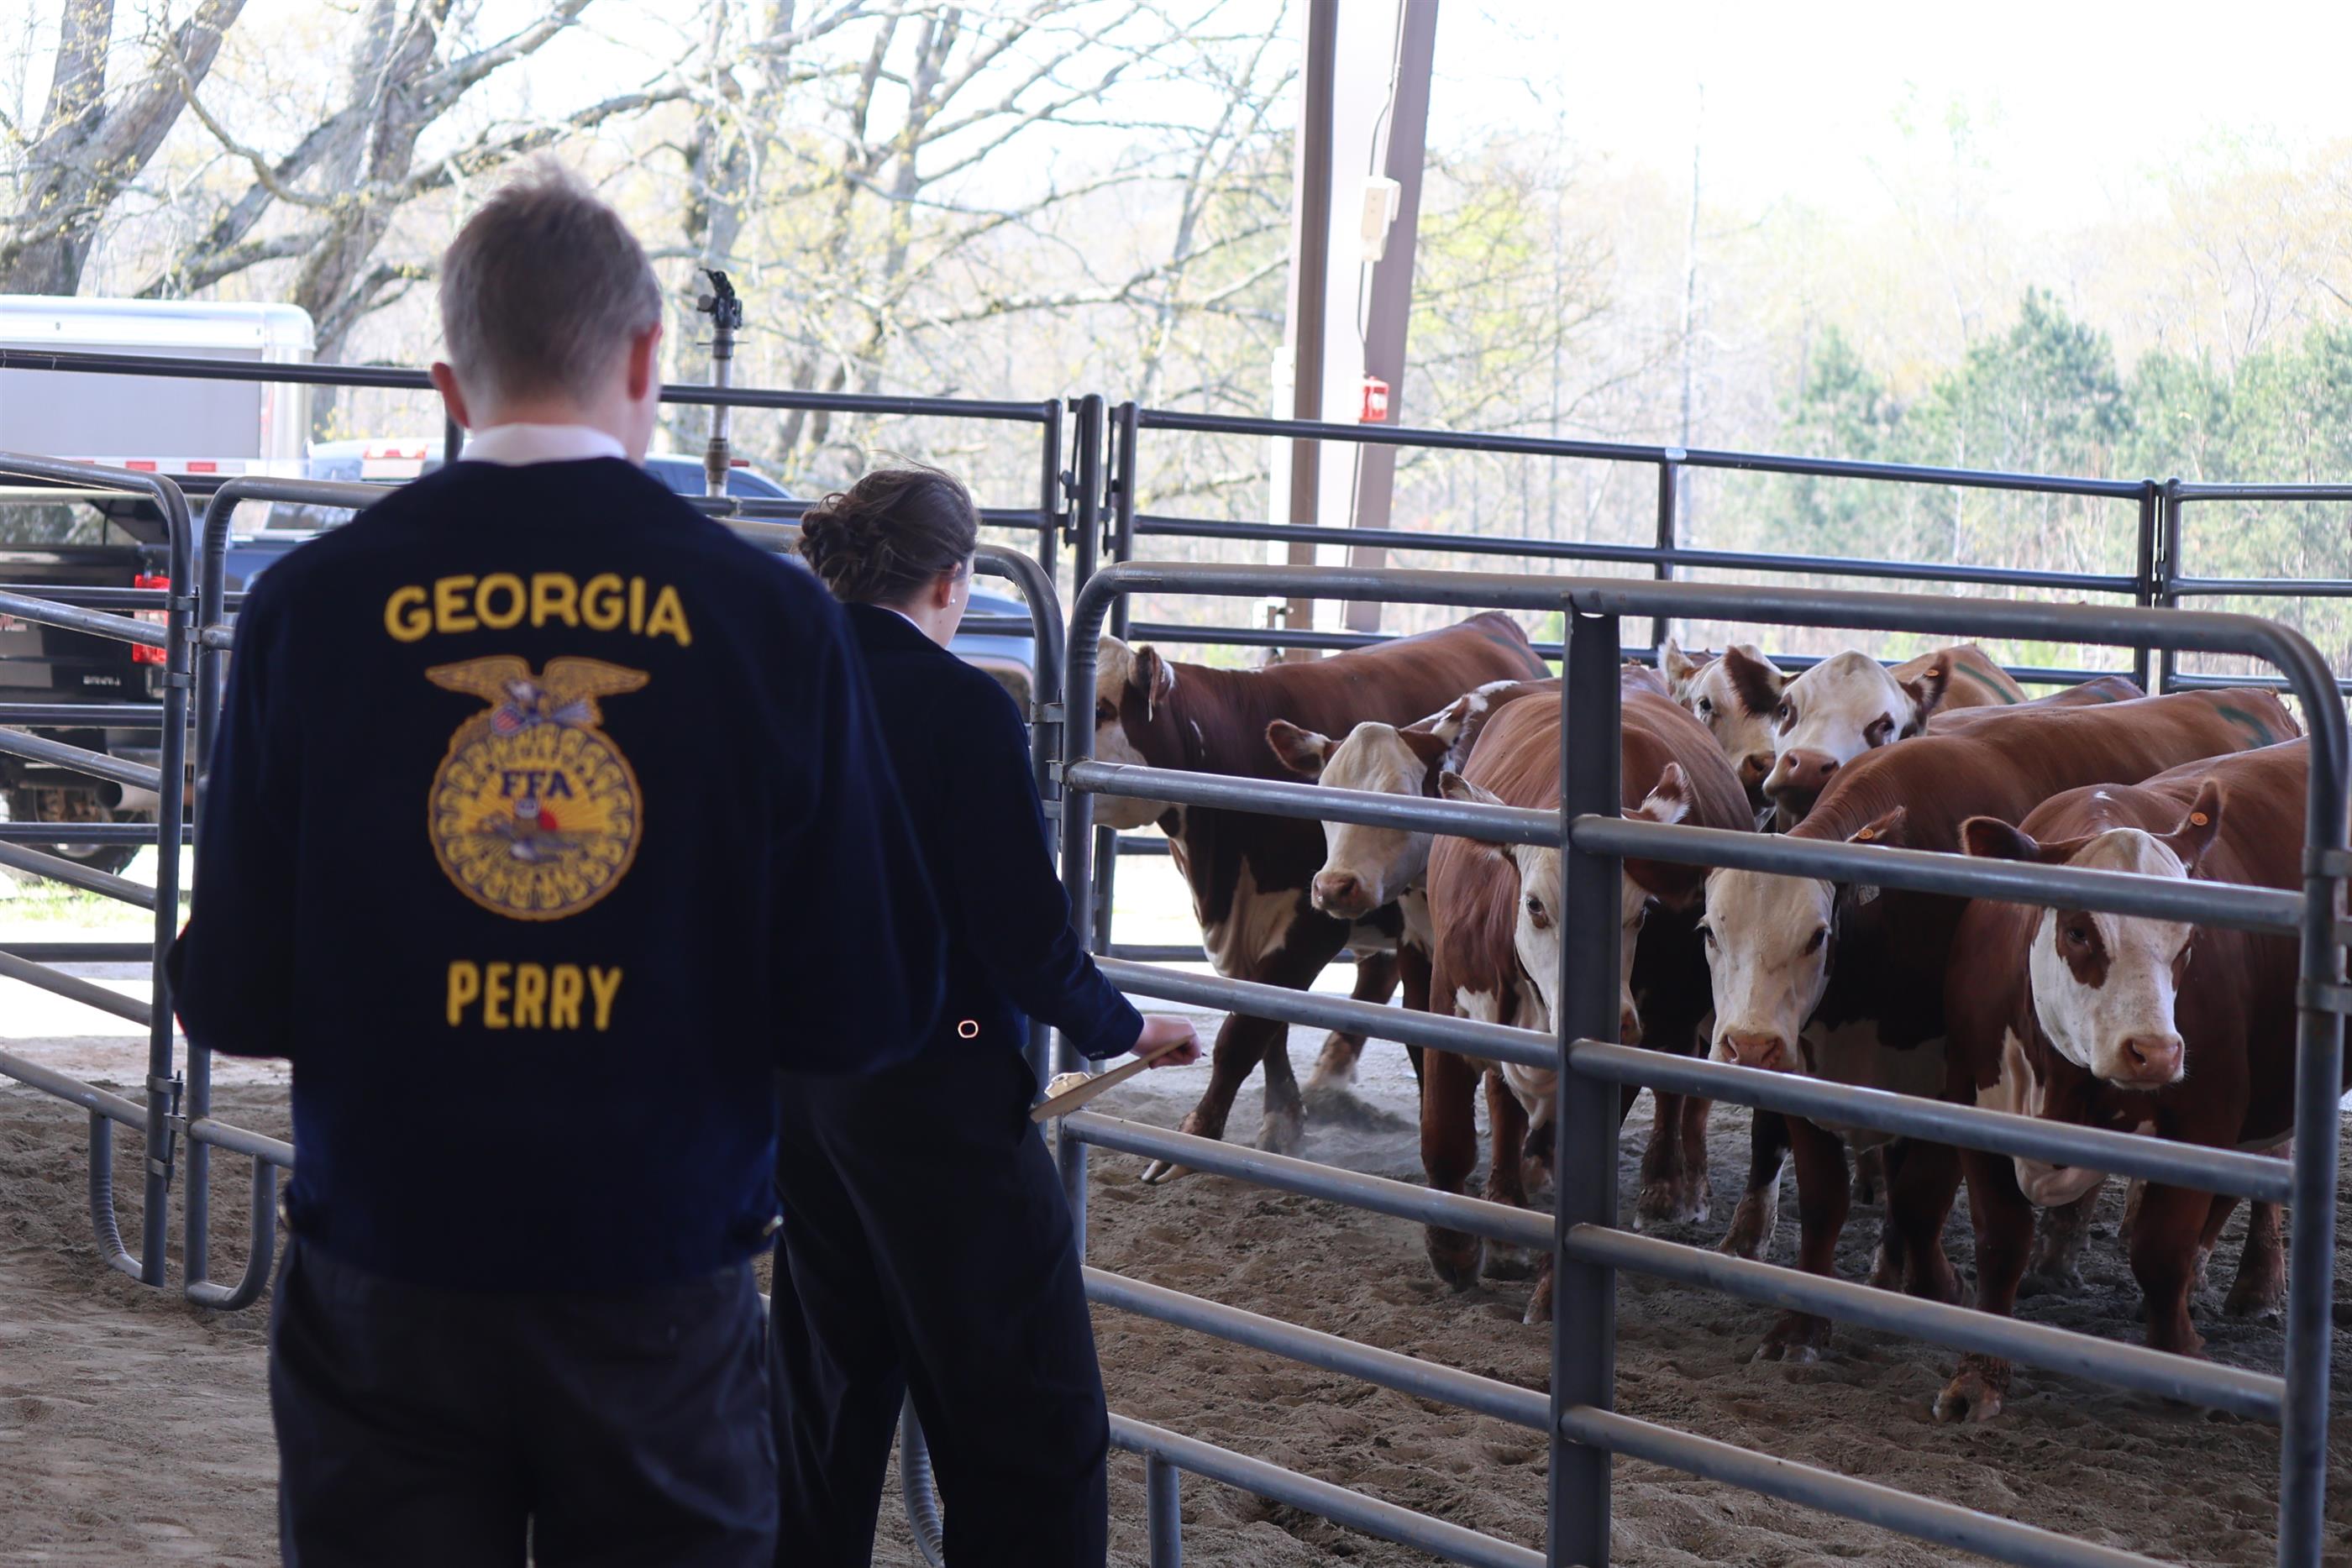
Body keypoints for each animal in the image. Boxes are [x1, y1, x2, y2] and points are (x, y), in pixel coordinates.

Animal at [1091, 612, 1550, 1179]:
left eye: (1102, 709)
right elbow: (1267, 1020)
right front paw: (1285, 1117)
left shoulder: (1309, 926)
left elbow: (1244, 1031)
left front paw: (1197, 1133)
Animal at [1419, 669, 1753, 1319]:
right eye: (1536, 905)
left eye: (1641, 913)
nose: (1613, 1019)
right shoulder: (1448, 1000)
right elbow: (1446, 1137)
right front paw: (1454, 1250)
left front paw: (1554, 1295)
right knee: (1503, 1102)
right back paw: (1503, 1215)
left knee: (1673, 1089)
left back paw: (1663, 1190)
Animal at [1697, 688, 2296, 1363]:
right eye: (1709, 931)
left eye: (1817, 936)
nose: (1748, 1046)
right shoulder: (1805, 1070)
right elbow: (1824, 1206)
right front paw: (1800, 1327)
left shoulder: (1948, 1082)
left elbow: (1918, 1195)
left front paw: (1933, 1284)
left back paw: (2254, 1284)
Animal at [1929, 738, 2338, 1421]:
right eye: (2078, 930)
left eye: (2189, 941)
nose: (2156, 1053)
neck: (2061, 1085)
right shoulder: (1971, 1103)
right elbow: (2000, 1241)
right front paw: (1977, 1374)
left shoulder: (2205, 1114)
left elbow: (2160, 1249)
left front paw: (2180, 1359)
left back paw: (2255, 1286)